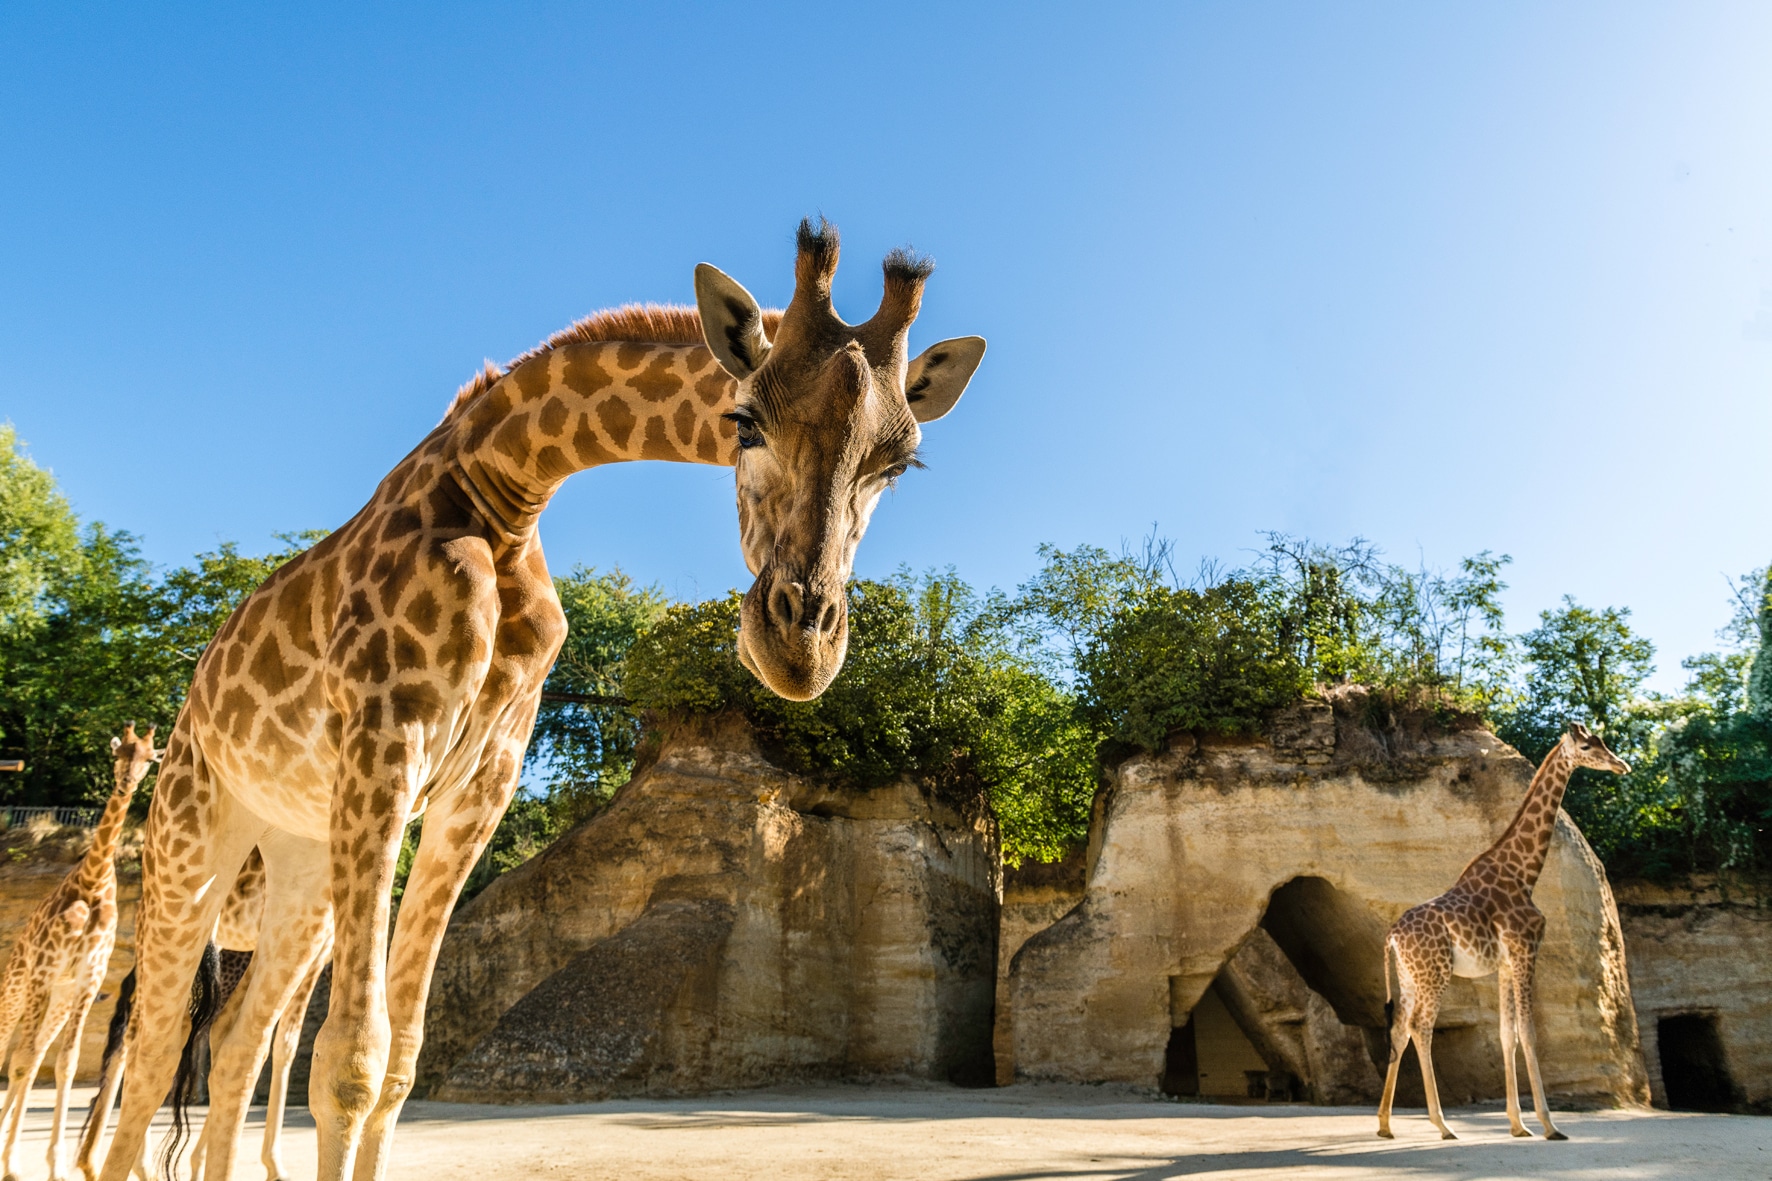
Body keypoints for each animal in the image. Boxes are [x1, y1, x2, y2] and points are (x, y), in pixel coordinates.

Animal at [0, 716, 160, 1177]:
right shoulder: (44, 970)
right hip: (18, 987)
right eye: (118, 752)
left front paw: (54, 1165)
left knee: (35, 1057)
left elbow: (65, 1065)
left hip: (57, 999)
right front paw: (16, 1164)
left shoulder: (87, 979)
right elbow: (20, 1061)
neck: (90, 883)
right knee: (12, 1051)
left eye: (149, 759)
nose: (125, 784)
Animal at [93, 220, 985, 1177]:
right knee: (151, 1055)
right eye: (745, 421)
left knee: (233, 1044)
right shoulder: (385, 742)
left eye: (901, 462)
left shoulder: (476, 785)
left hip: (299, 862)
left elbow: (399, 1062)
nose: (801, 647)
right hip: (193, 832)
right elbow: (350, 1060)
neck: (504, 488)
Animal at [1367, 723, 1630, 1134]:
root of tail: (1392, 936)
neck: (1524, 874)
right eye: (1588, 747)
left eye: (1602, 743)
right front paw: (1550, 1126)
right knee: (1421, 1028)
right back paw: (1443, 1125)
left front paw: (1518, 1125)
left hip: (1409, 976)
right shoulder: (1525, 951)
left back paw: (1385, 1124)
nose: (1622, 765)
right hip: (1435, 973)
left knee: (1399, 1029)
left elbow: (1508, 1035)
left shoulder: (1505, 964)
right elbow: (1529, 1033)